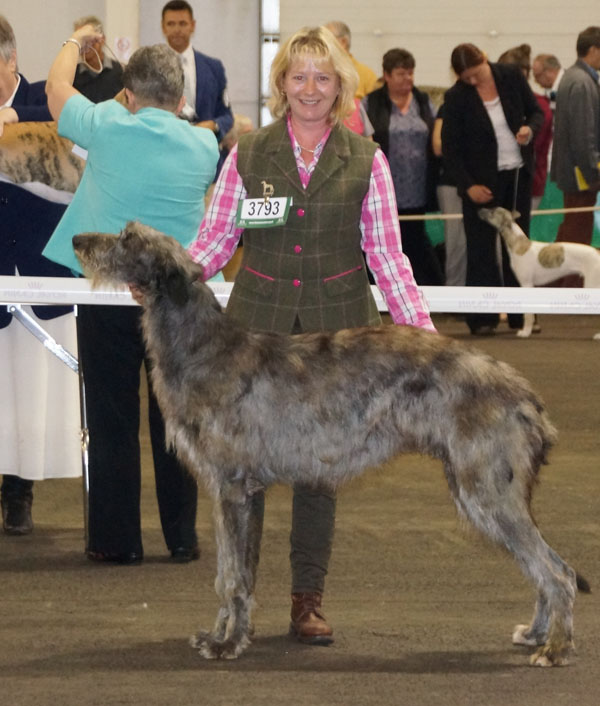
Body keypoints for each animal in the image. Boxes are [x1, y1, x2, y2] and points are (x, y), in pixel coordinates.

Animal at [480, 206, 600, 338]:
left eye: (492, 211)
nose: (479, 210)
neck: (519, 244)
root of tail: (598, 252)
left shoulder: (526, 284)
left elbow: (528, 314)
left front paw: (525, 332)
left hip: (592, 285)